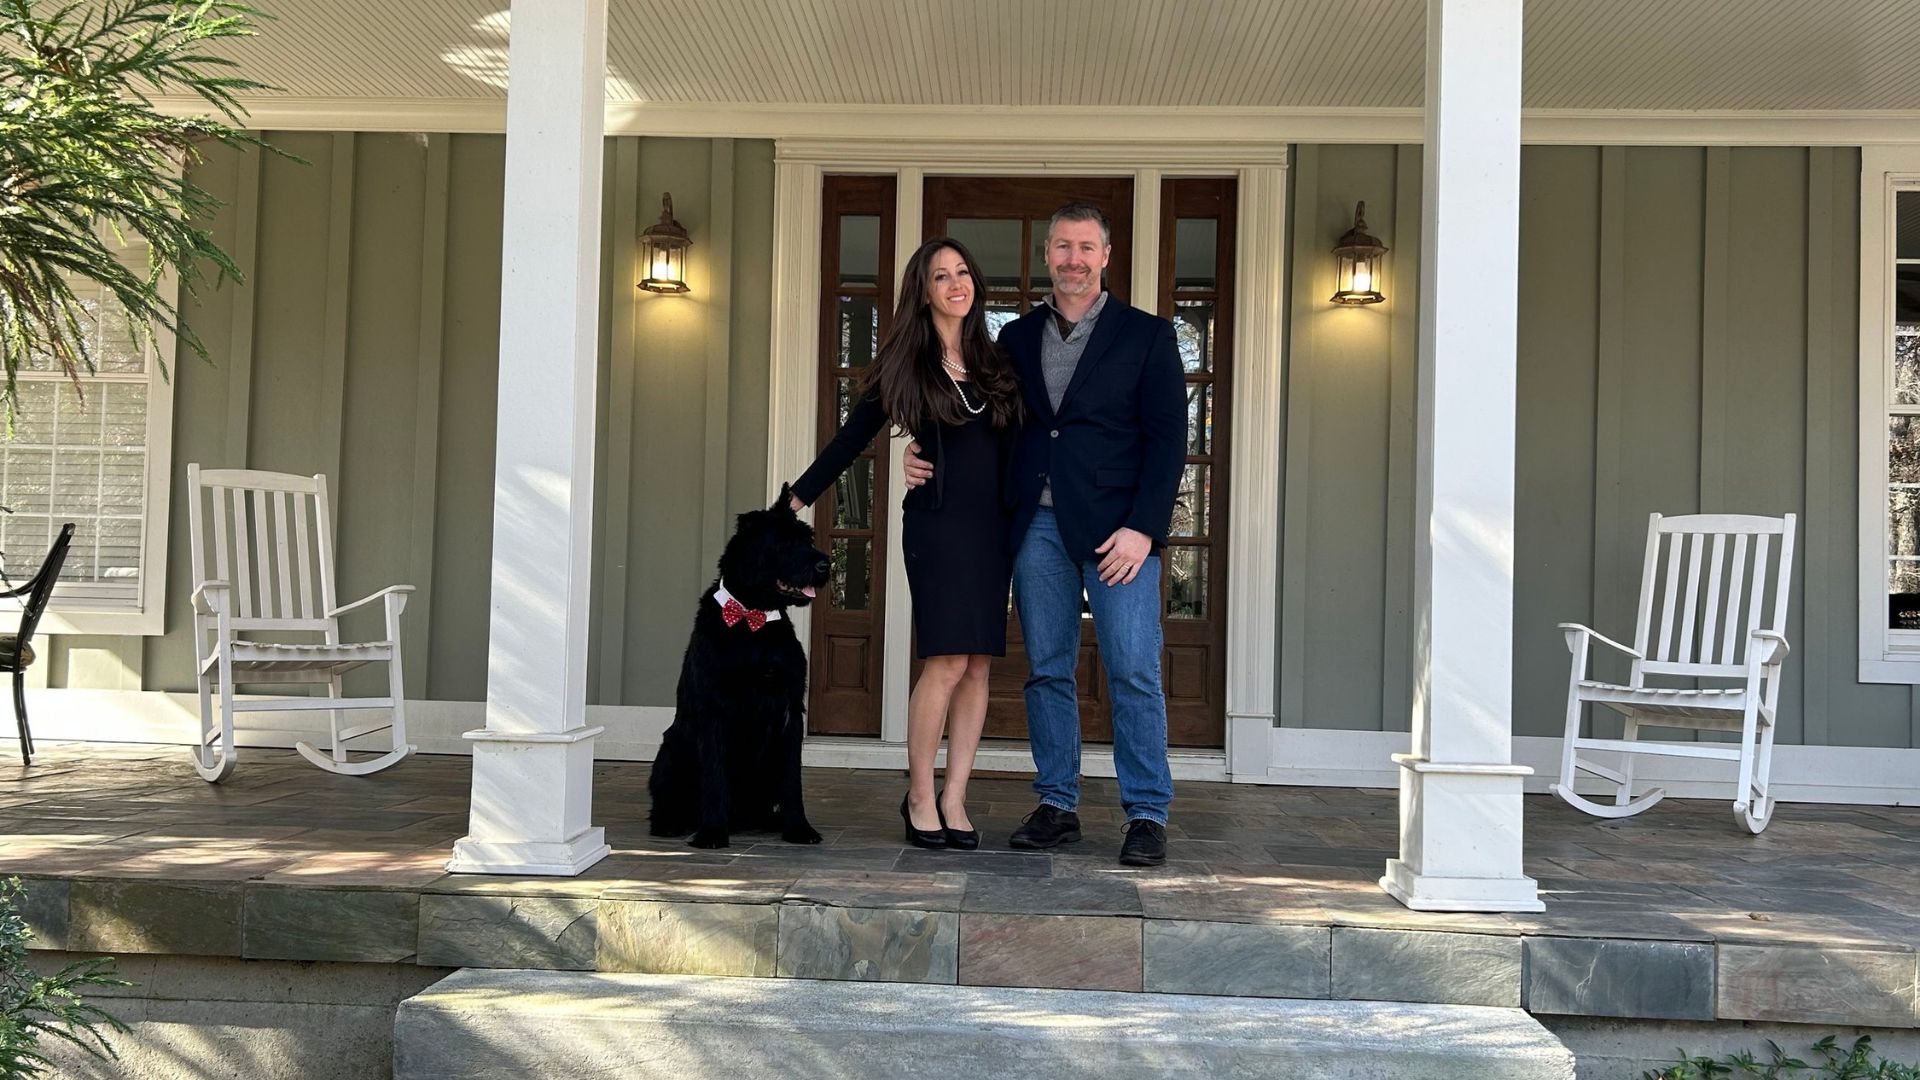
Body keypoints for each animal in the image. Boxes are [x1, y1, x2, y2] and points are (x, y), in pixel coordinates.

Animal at [648, 484, 829, 845]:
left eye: (808, 538)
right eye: (784, 543)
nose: (824, 564)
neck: (751, 618)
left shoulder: (789, 711)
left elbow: (792, 780)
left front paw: (799, 828)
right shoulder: (714, 710)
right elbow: (716, 777)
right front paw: (712, 832)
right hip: (670, 751)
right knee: (663, 801)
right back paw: (671, 822)